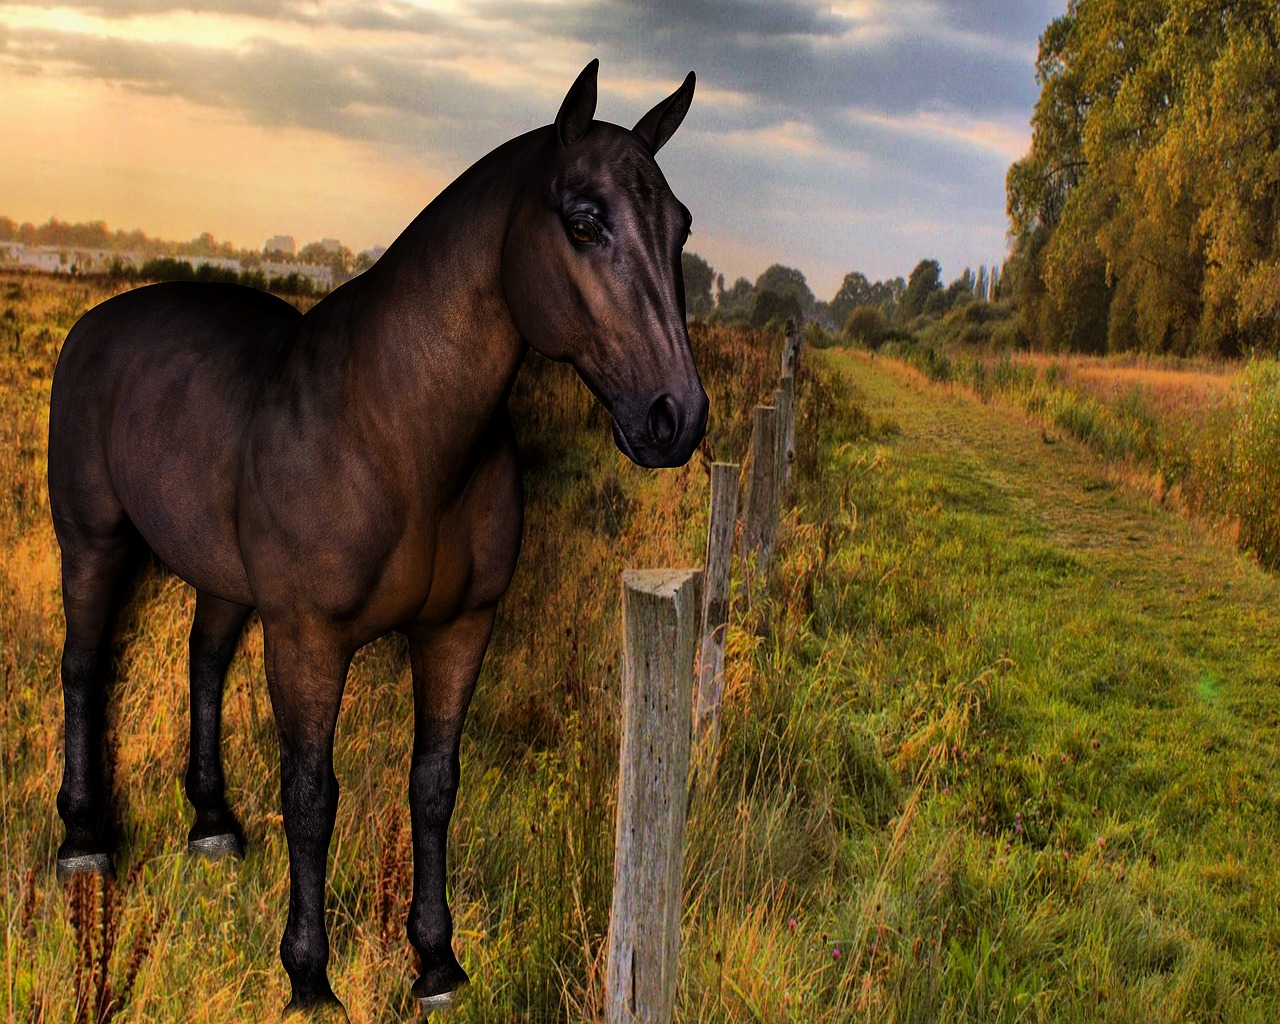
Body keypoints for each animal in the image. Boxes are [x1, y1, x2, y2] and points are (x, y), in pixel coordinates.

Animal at [45, 60, 706, 1013]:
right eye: (584, 221)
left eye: (680, 224)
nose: (675, 417)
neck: (396, 430)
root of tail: (97, 323)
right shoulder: (309, 638)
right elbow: (312, 793)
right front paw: (309, 979)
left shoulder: (459, 629)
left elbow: (433, 783)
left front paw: (436, 963)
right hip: (91, 539)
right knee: (84, 666)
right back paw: (84, 841)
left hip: (221, 573)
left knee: (204, 661)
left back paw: (212, 824)